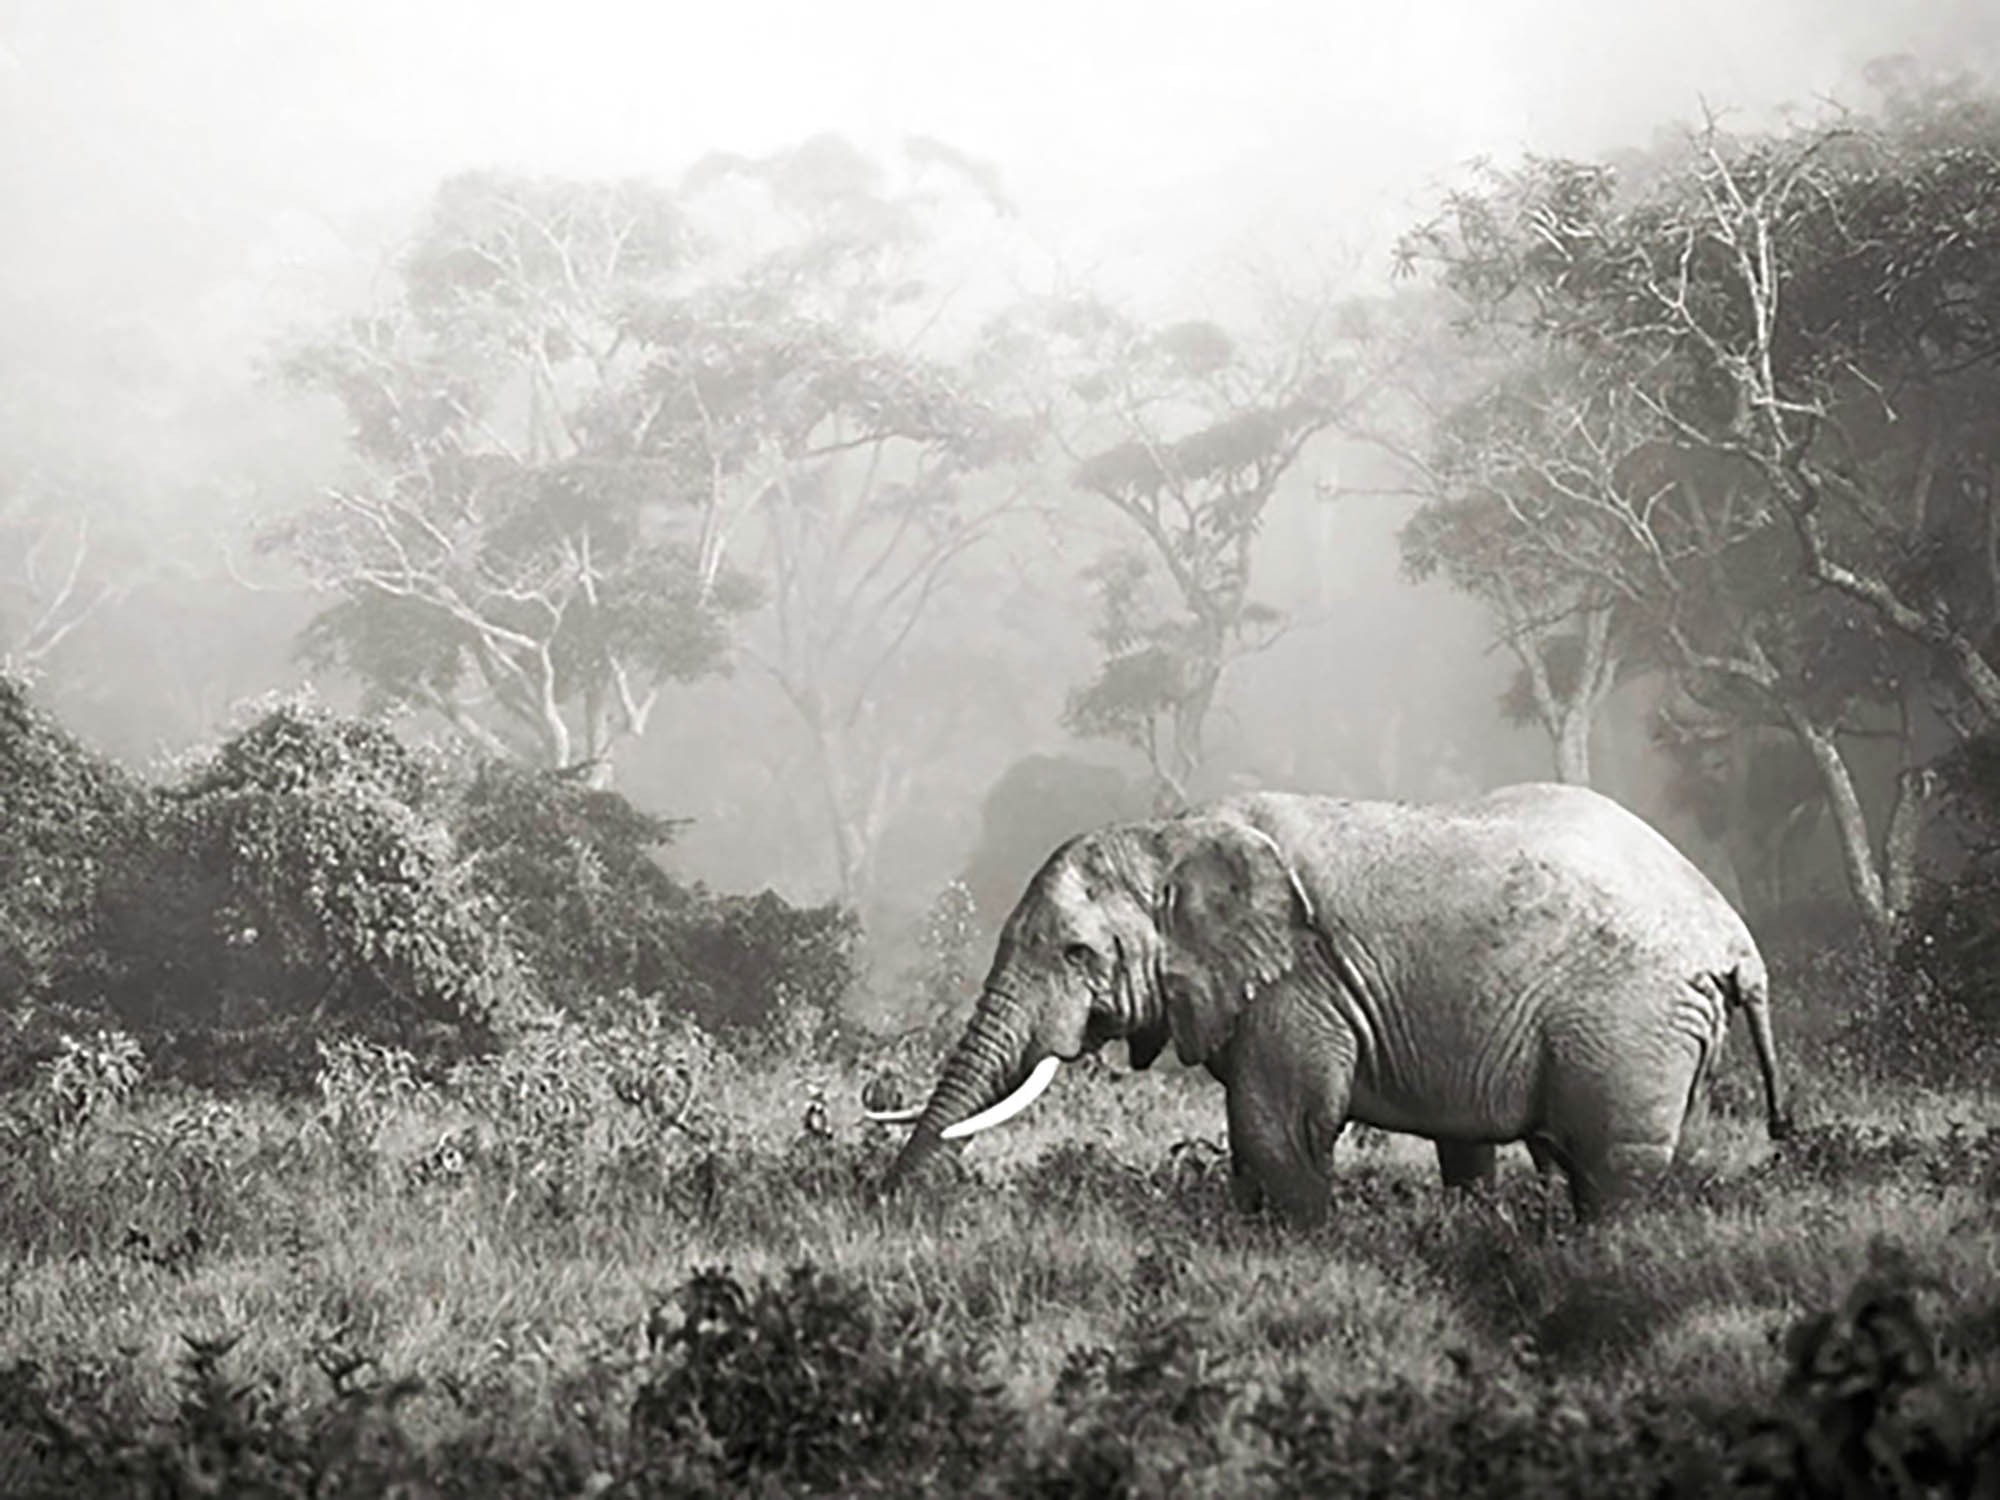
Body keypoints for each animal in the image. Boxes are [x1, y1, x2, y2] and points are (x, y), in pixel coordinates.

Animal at [870, 784, 1790, 1224]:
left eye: (1077, 954)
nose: (884, 1204)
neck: (1171, 832)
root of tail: (1735, 938)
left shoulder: (1299, 984)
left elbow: (1278, 1129)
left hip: (1632, 1022)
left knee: (1609, 1169)